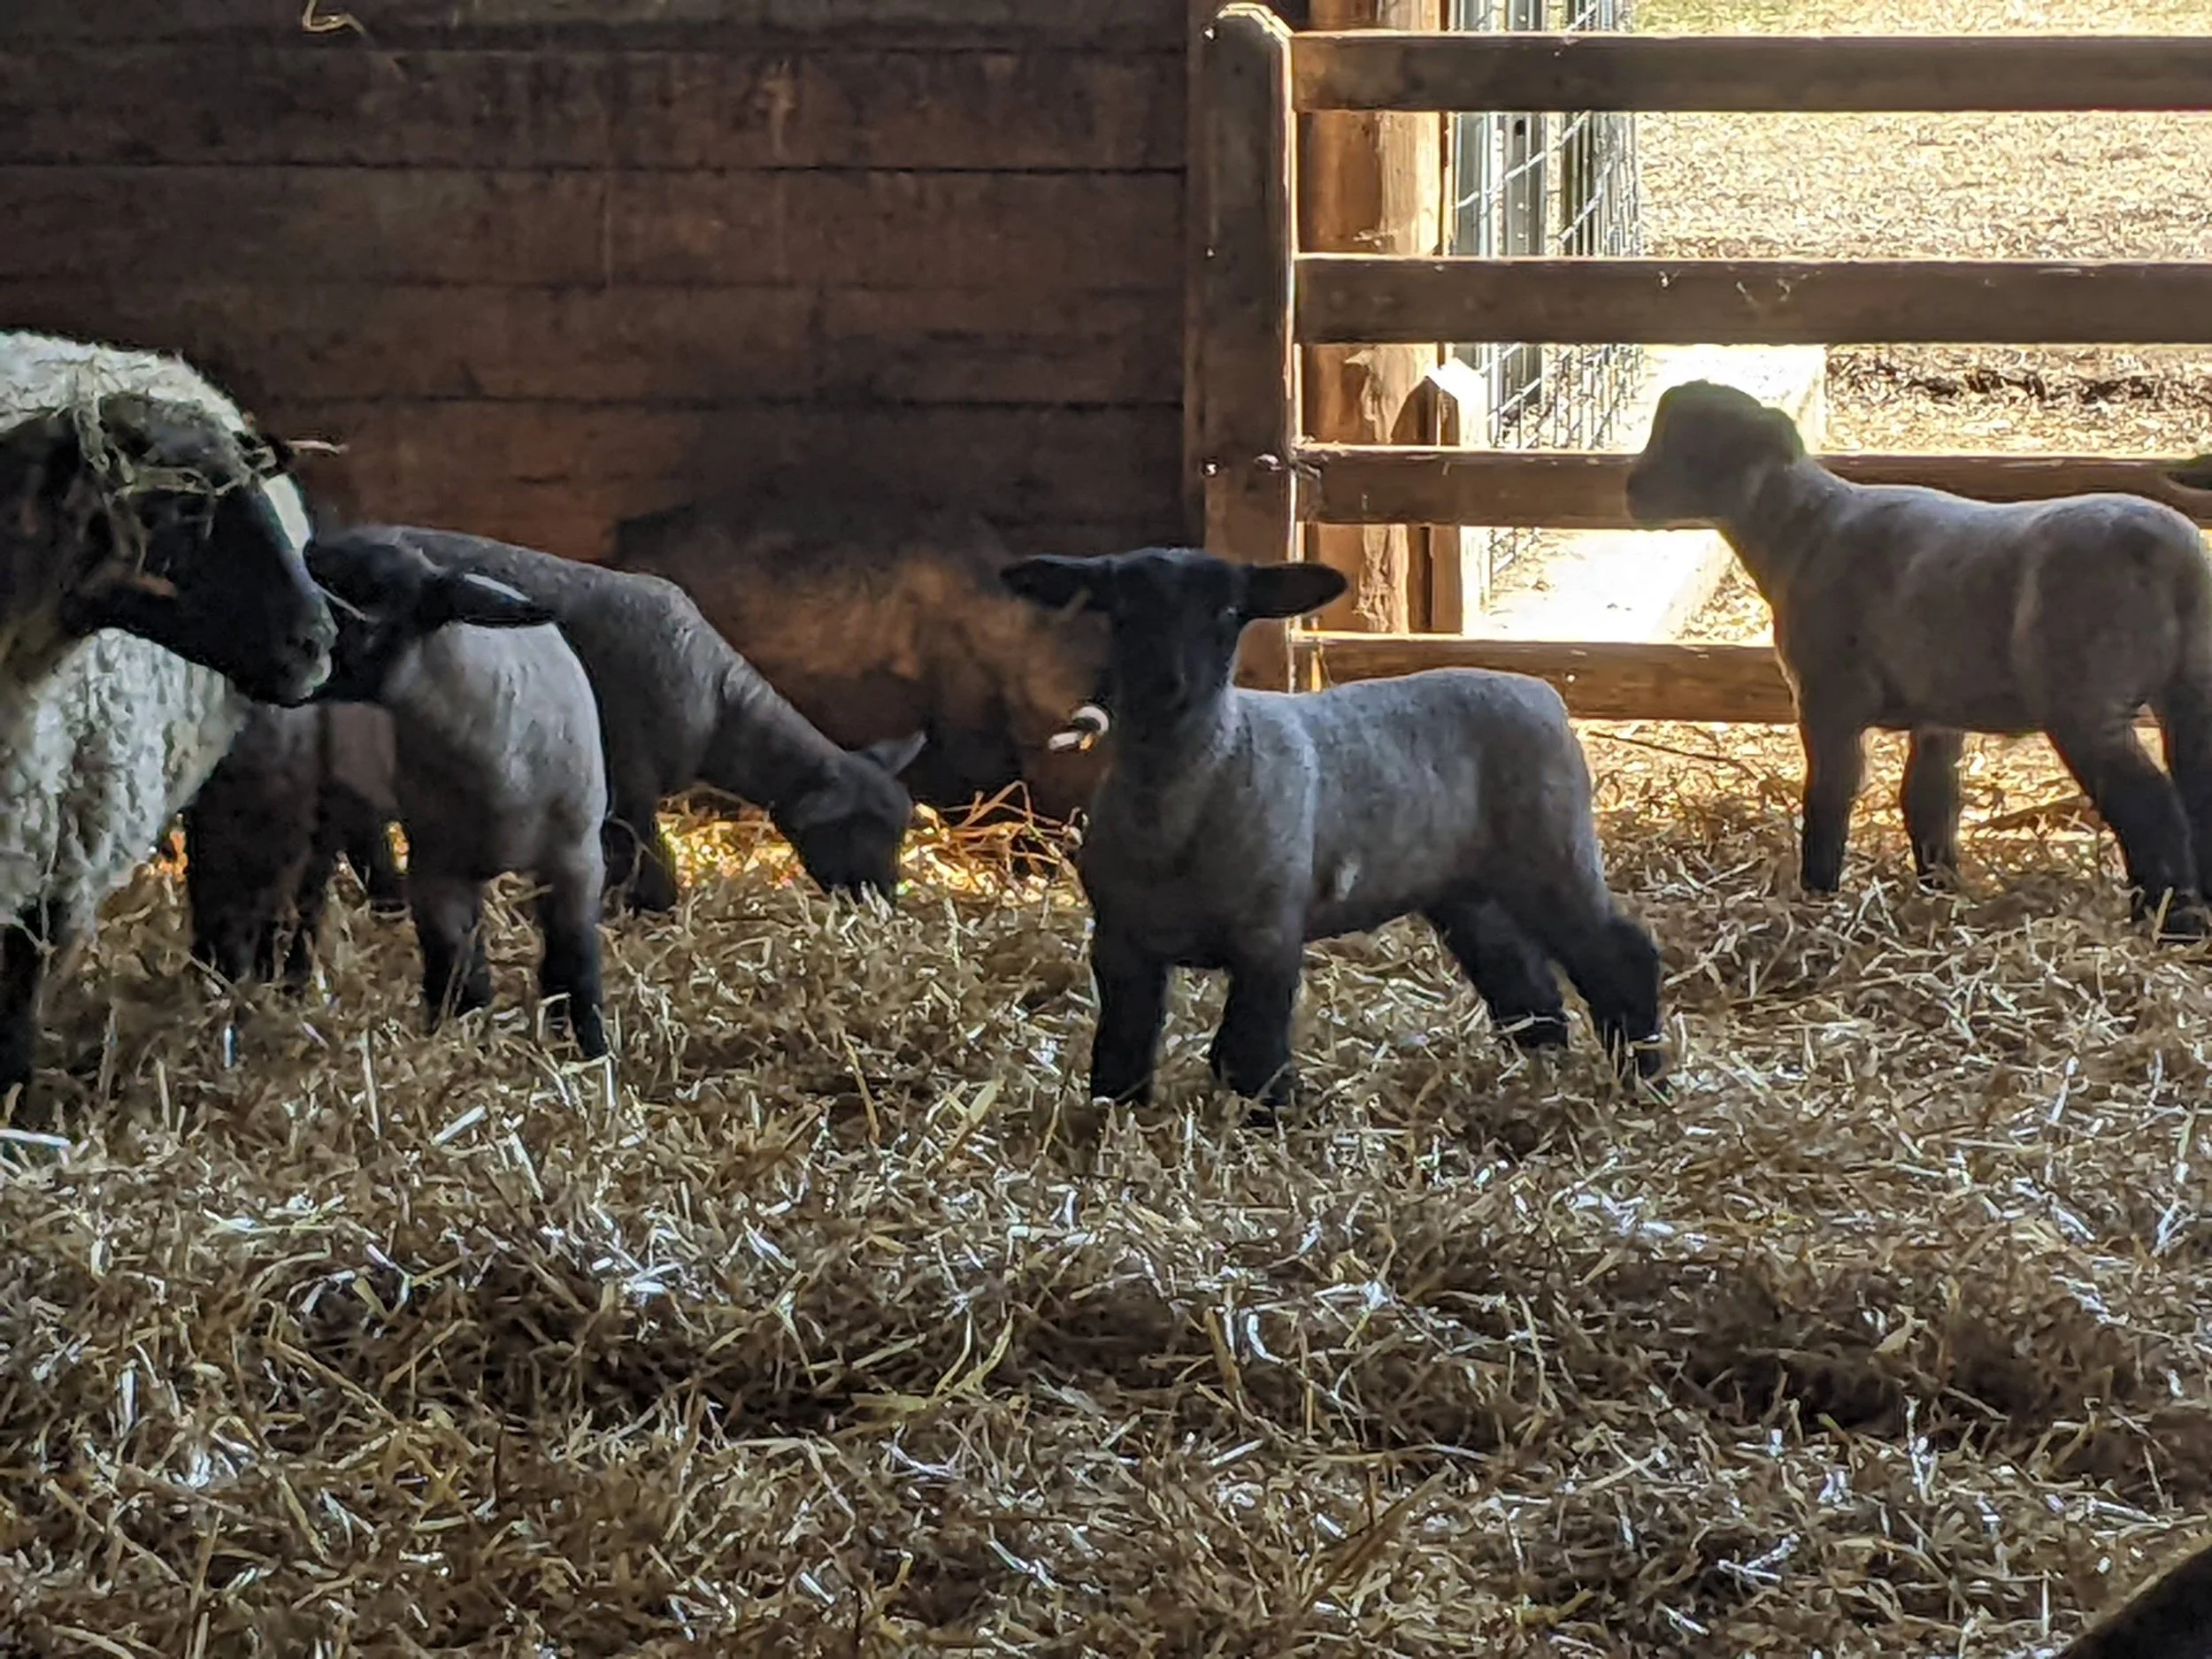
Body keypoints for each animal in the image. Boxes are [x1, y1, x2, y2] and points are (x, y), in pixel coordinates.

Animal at [303, 533, 612, 1059]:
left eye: (375, 592)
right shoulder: (437, 868)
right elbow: (451, 962)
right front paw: (457, 1029)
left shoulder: (577, 859)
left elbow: (577, 959)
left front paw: (593, 1046)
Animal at [330, 522, 925, 912]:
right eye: (858, 828)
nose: (884, 903)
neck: (723, 709)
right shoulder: (629, 780)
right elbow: (651, 861)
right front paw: (644, 908)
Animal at [998, 545, 1667, 1114]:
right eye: (1121, 609)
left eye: (1228, 612)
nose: (1169, 687)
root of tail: (1543, 691)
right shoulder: (1120, 942)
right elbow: (1124, 1042)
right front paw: (1113, 1115)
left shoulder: (1268, 934)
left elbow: (1250, 1049)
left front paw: (1271, 1117)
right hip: (1465, 888)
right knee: (1524, 981)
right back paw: (1538, 1069)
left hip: (1551, 850)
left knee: (1621, 953)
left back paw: (1644, 1073)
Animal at [1627, 380, 2212, 937]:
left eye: (1700, 447)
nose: (1631, 491)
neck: (1800, 531)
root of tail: (2174, 555)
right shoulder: (1936, 713)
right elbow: (1929, 806)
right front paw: (1941, 890)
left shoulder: (1828, 699)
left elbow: (1829, 797)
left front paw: (1818, 893)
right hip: (2190, 685)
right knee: (2196, 784)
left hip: (2086, 697)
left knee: (2151, 805)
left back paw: (2167, 923)